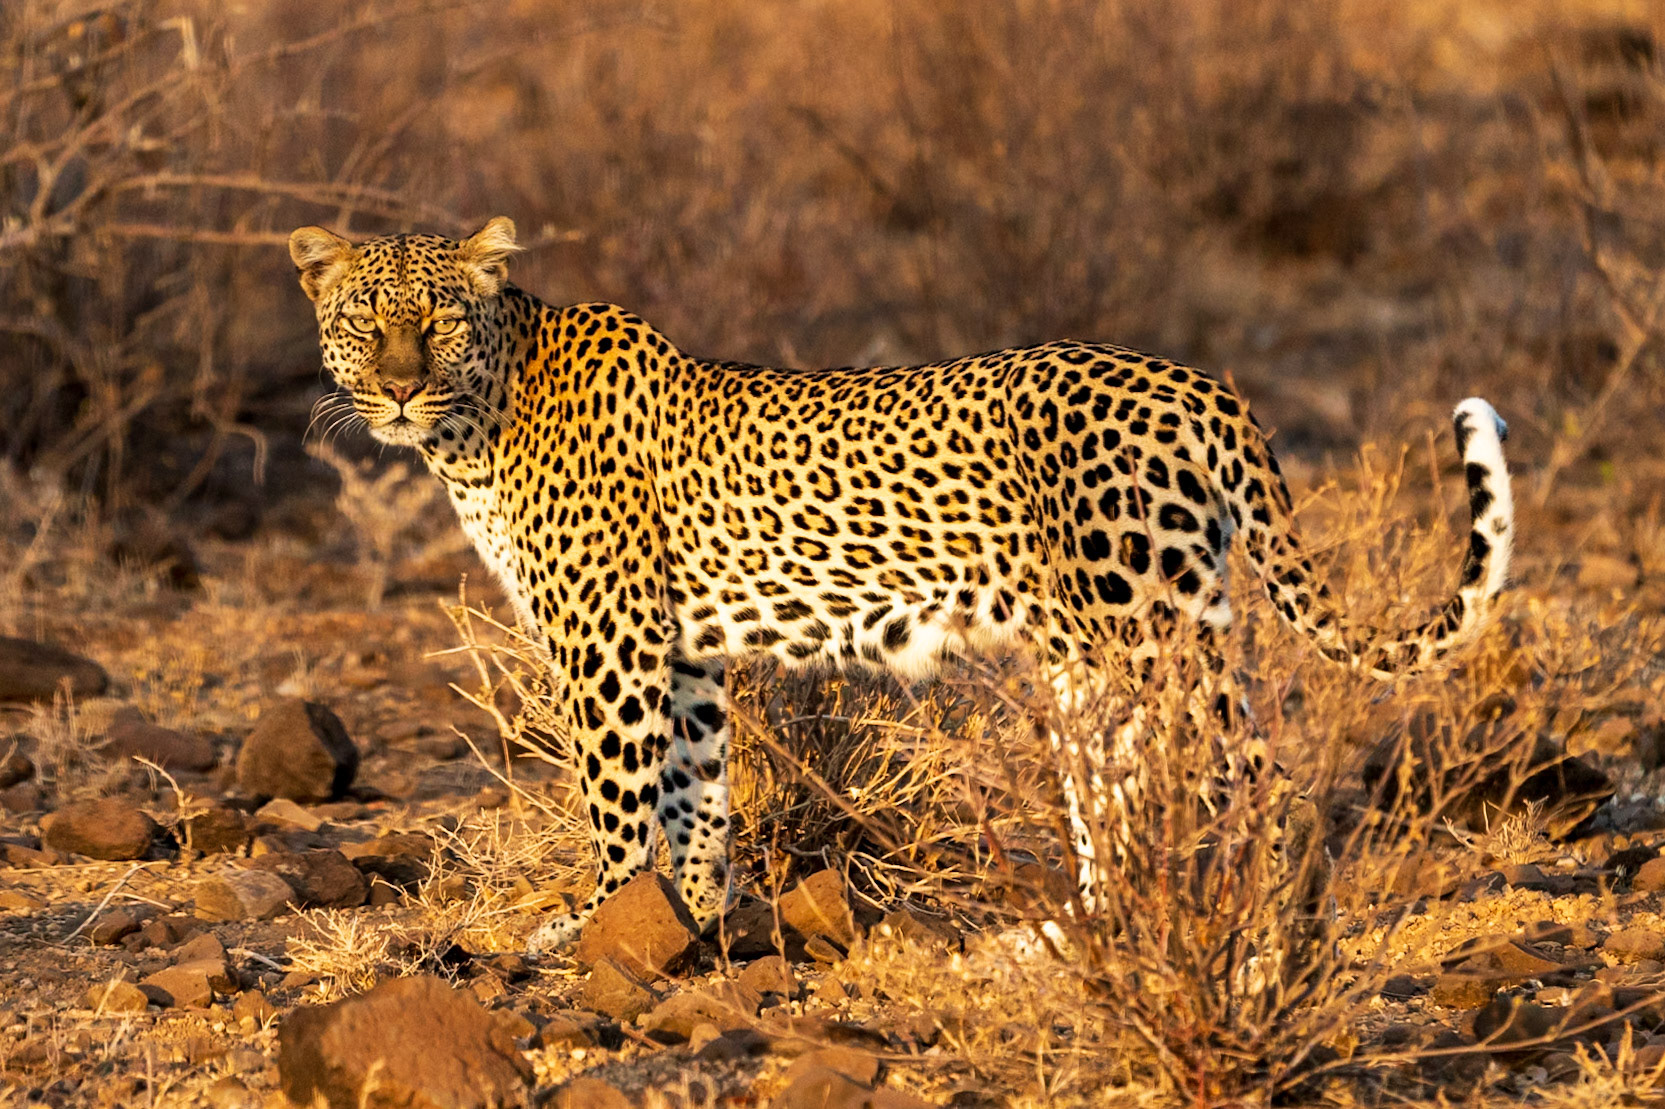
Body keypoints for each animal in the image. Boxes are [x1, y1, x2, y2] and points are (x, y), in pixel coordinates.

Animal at [289, 217, 1515, 954]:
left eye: (437, 317)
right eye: (363, 320)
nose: (398, 388)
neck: (474, 424)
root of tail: (1198, 382)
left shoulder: (610, 644)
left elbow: (618, 800)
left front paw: (589, 928)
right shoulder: (682, 652)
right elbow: (694, 800)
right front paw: (690, 929)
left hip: (1151, 632)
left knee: (1260, 787)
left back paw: (1247, 947)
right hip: (1100, 655)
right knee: (1122, 802)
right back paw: (1080, 938)